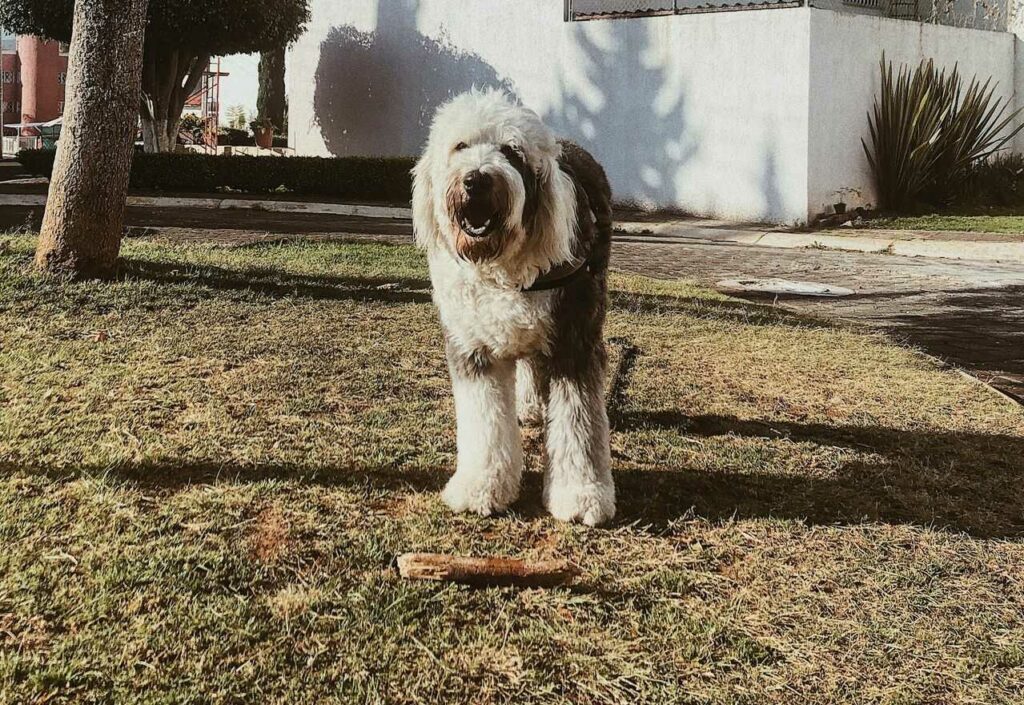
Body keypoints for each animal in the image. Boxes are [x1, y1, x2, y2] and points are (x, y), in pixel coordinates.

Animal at [409, 88, 614, 524]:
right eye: (460, 146)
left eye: (511, 152)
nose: (475, 179)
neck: (503, 264)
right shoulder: (473, 348)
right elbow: (484, 421)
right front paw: (480, 486)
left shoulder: (575, 341)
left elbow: (578, 421)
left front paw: (580, 495)